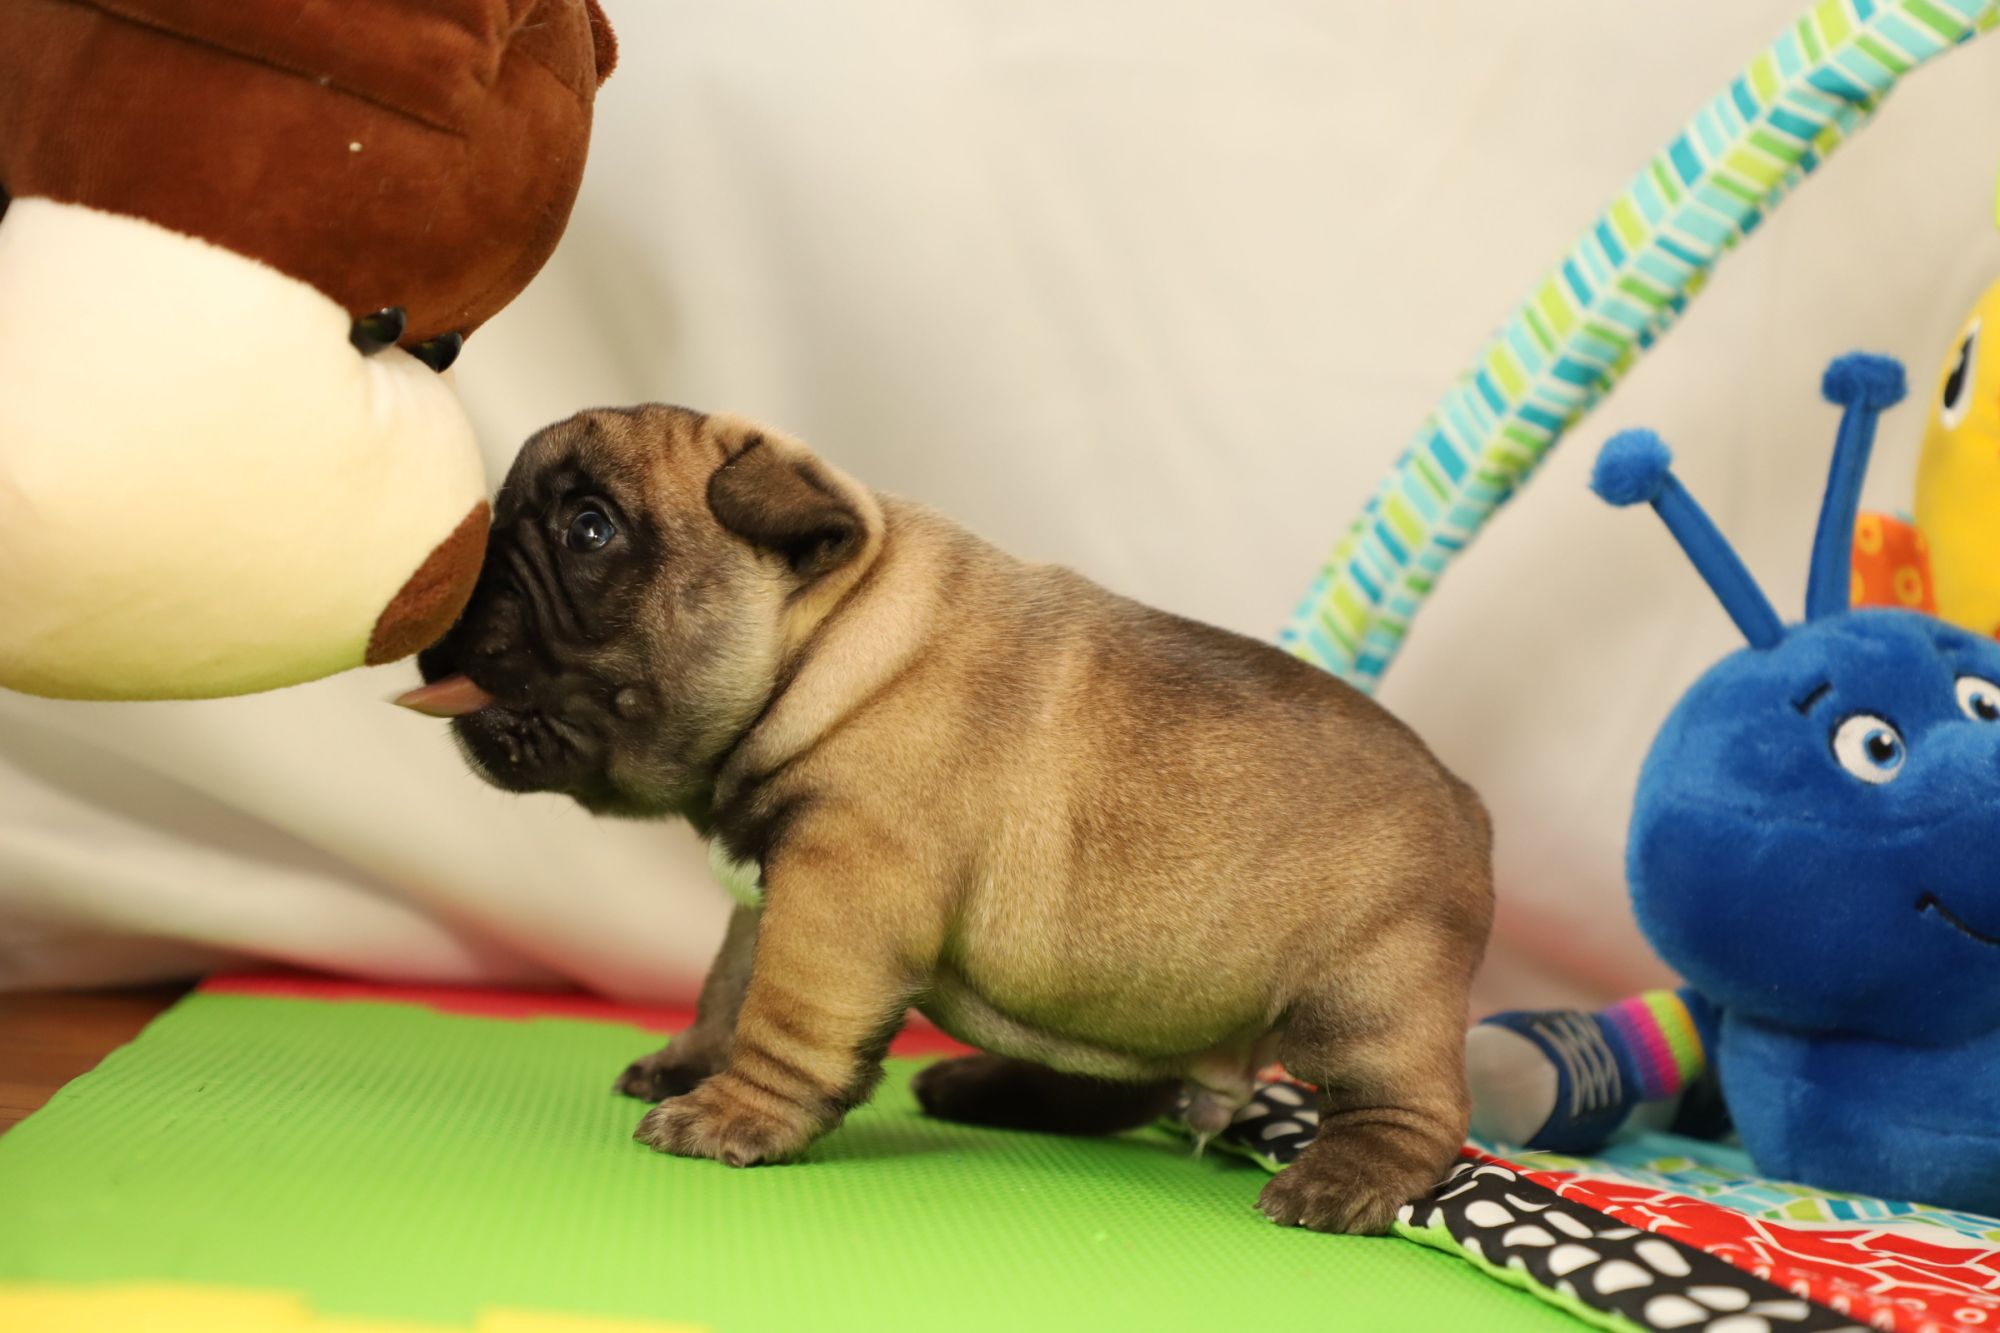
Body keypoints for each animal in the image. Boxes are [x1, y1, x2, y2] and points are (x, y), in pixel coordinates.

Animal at [400, 406, 1494, 1233]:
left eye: (590, 529)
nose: (457, 554)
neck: (831, 644)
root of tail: (1469, 799)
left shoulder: (837, 890)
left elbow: (781, 1017)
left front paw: (732, 1116)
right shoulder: (770, 895)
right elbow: (727, 987)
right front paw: (686, 1065)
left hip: (1366, 993)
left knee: (1414, 1108)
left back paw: (1341, 1177)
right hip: (1147, 991)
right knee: (1132, 1081)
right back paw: (990, 1091)